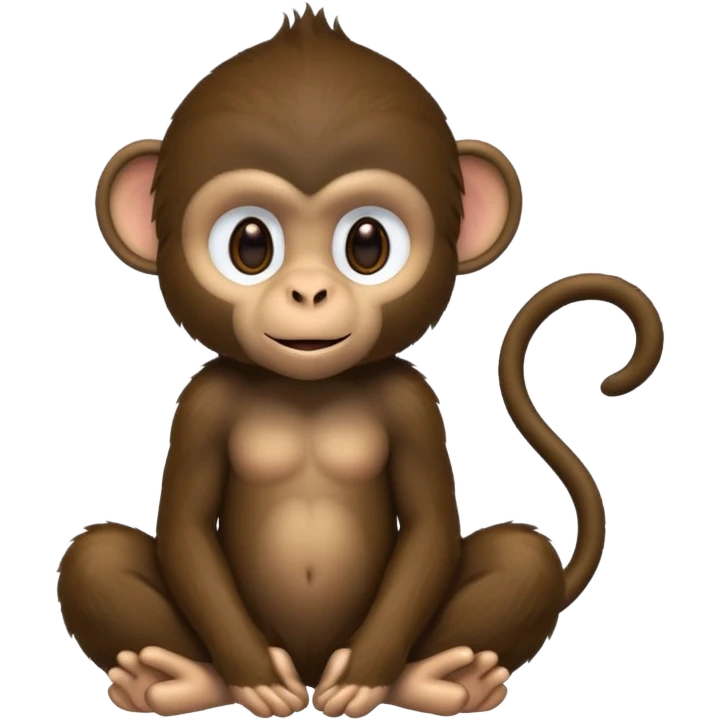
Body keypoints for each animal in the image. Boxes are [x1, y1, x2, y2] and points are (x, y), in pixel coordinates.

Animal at [60, 6, 665, 719]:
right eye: (250, 244)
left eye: (368, 244)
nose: (309, 293)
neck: (309, 389)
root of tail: (311, 665)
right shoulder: (202, 401)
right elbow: (183, 525)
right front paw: (253, 679)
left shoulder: (412, 399)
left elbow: (430, 524)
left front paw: (368, 678)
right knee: (95, 556)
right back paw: (178, 679)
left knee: (523, 556)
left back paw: (439, 680)